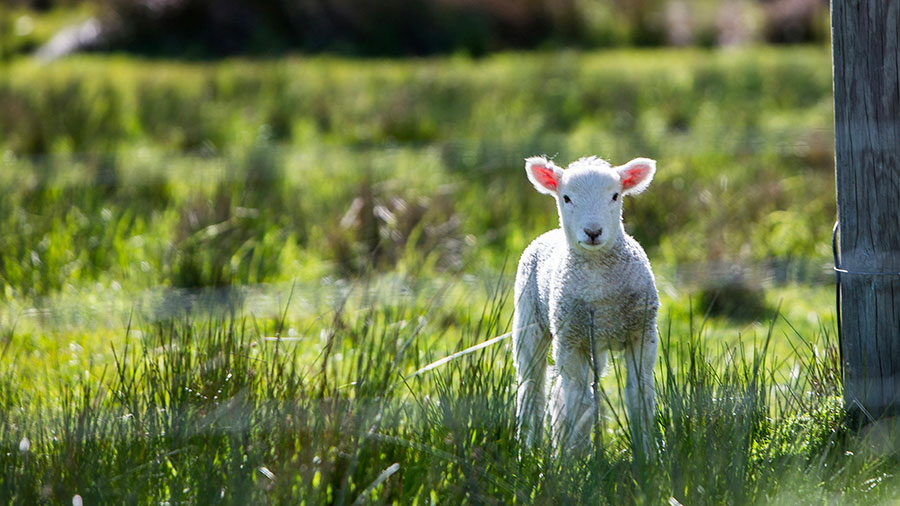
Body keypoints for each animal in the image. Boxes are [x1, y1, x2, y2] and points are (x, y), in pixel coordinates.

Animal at [512, 154, 660, 454]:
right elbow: (579, 402)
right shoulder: (570, 340)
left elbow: (639, 395)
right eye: (566, 197)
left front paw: (646, 453)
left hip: (594, 343)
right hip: (528, 321)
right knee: (532, 387)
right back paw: (529, 448)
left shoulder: (642, 333)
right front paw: (579, 458)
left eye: (615, 196)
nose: (593, 232)